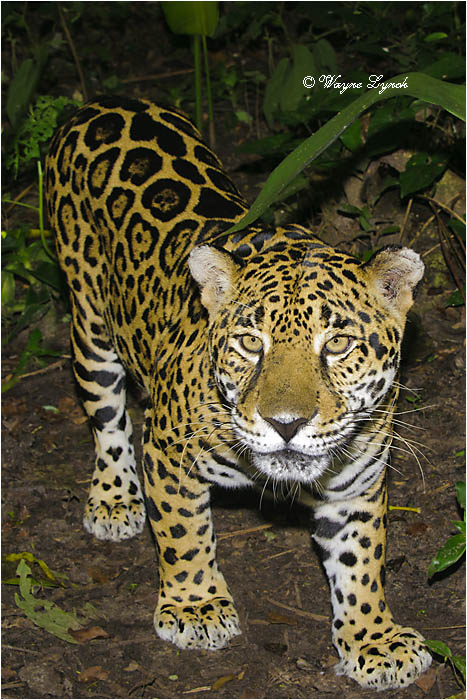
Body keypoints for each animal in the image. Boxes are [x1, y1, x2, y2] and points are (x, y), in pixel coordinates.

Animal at [45, 95, 431, 690]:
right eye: (250, 343)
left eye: (338, 344)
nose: (286, 423)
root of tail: (103, 103)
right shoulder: (166, 454)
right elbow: (182, 533)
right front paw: (195, 607)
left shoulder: (357, 485)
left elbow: (362, 562)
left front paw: (373, 639)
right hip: (89, 320)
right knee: (106, 415)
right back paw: (113, 499)